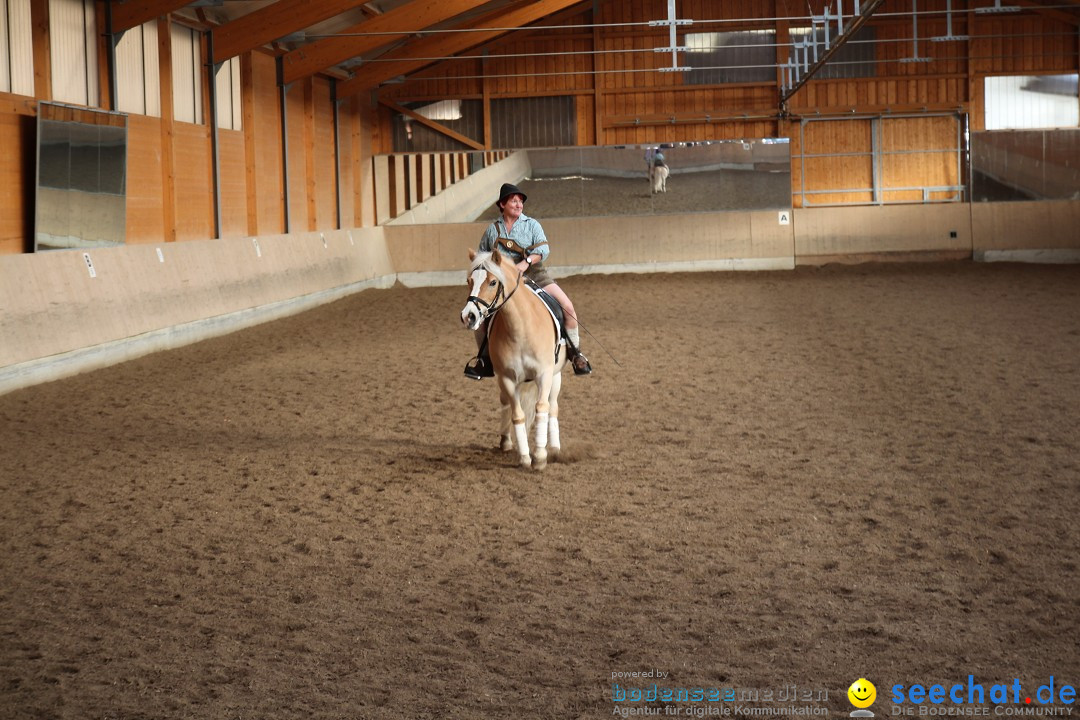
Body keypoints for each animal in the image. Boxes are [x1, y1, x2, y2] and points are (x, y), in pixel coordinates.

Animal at [460, 248, 570, 472]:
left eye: (493, 282)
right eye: (469, 280)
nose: (469, 316)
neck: (521, 327)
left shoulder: (544, 375)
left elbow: (542, 409)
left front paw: (540, 457)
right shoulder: (507, 378)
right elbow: (517, 414)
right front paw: (525, 458)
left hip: (556, 376)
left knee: (553, 407)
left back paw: (555, 448)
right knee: (506, 403)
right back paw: (506, 442)